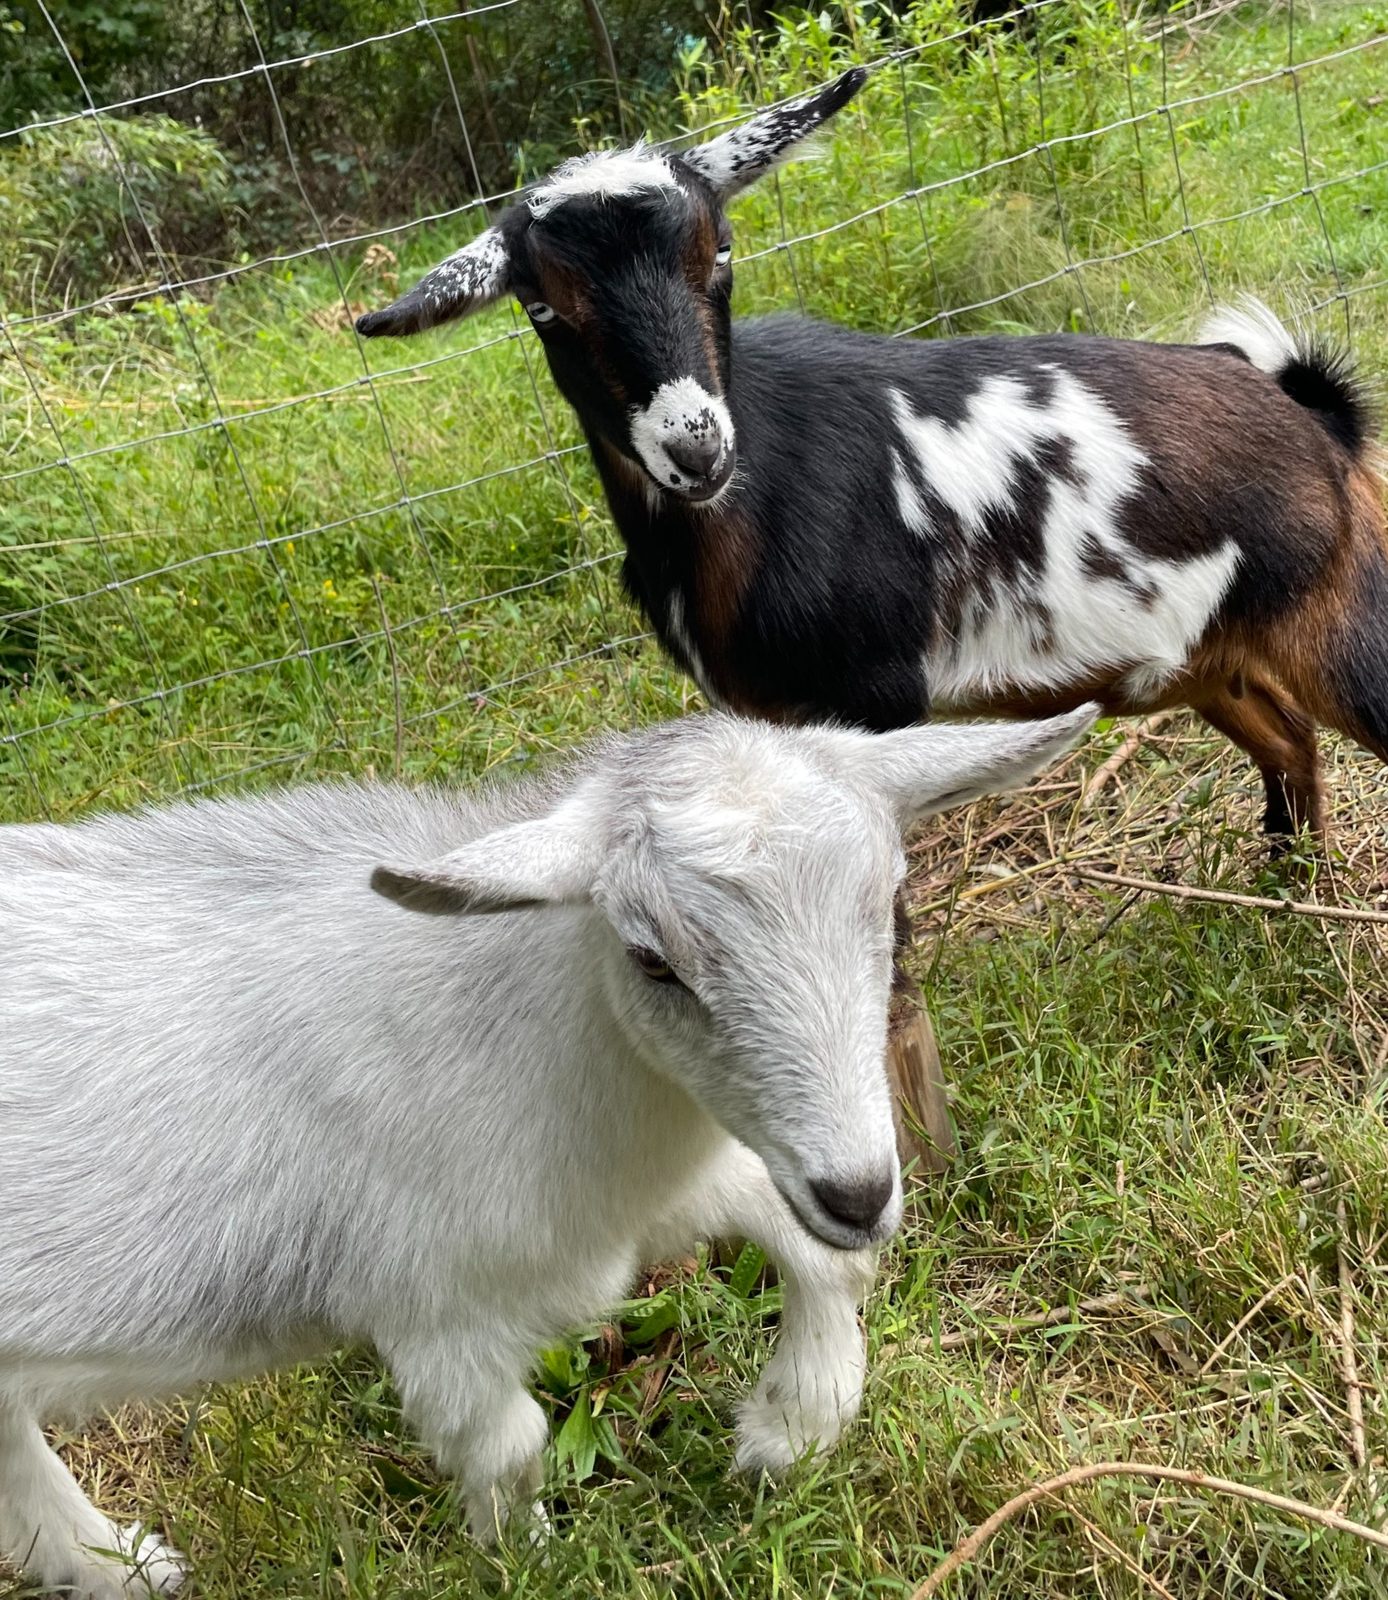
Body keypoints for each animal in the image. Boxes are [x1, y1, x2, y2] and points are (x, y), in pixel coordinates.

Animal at [0, 705, 1092, 1598]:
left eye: (895, 911)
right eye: (652, 959)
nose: (859, 1190)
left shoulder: (663, 1196)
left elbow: (817, 1253)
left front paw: (791, 1429)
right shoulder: (434, 1312)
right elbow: (511, 1447)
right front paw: (527, 1558)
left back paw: (117, 1567)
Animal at [358, 69, 1387, 852]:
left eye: (720, 250)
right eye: (541, 307)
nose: (695, 444)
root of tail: (1313, 415)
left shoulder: (869, 704)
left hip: (1340, 614)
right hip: (1203, 655)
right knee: (1287, 739)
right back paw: (1287, 878)